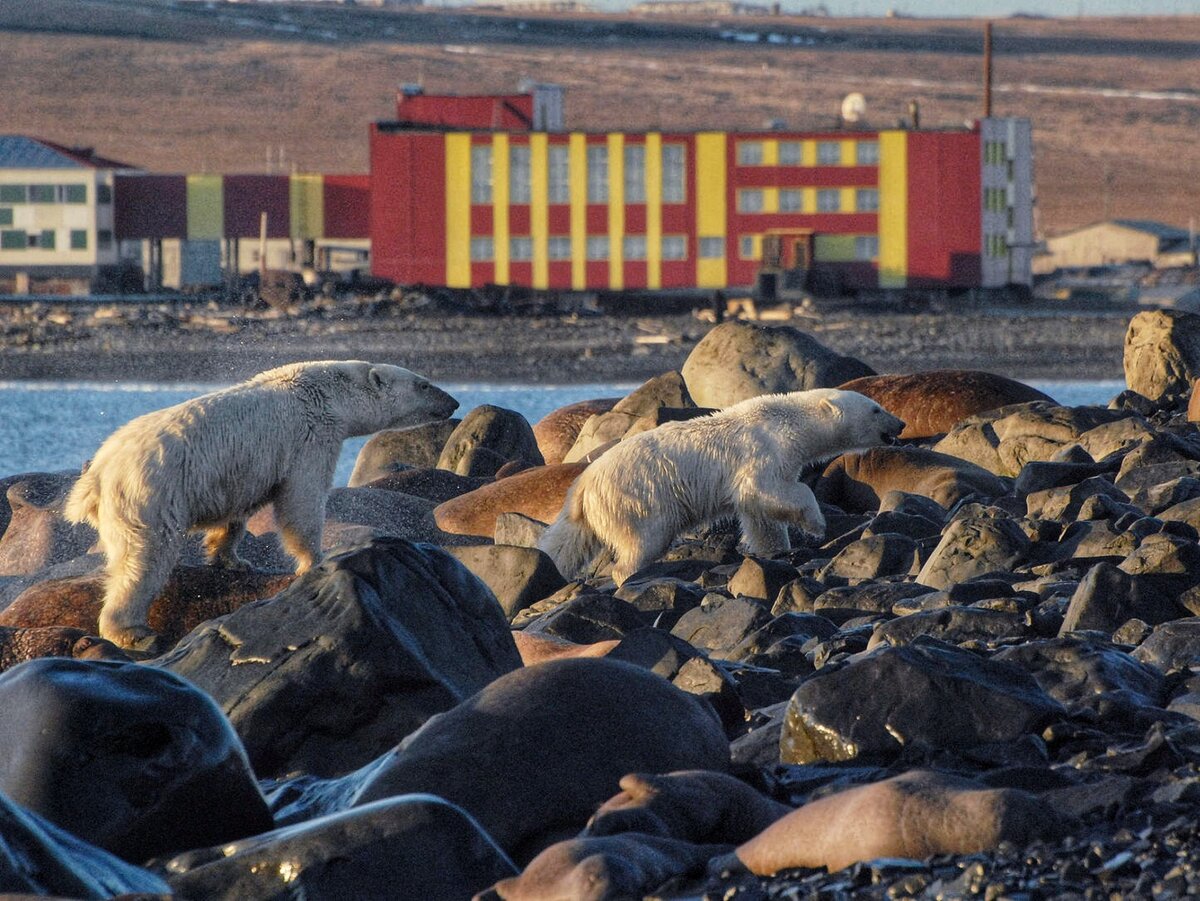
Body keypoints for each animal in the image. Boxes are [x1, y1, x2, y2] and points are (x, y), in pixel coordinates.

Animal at [65, 362, 458, 652]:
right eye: (424, 384)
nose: (453, 403)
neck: (324, 391)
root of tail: (96, 474)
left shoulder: (243, 468)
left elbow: (237, 512)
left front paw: (232, 558)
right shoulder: (311, 436)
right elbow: (302, 498)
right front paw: (315, 559)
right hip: (150, 495)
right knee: (143, 558)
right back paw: (132, 631)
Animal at [540, 388, 902, 585]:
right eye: (876, 408)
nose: (900, 423)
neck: (787, 421)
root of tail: (584, 484)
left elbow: (759, 516)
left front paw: (775, 549)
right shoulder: (761, 449)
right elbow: (765, 489)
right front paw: (815, 524)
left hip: (592, 510)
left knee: (568, 543)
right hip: (638, 497)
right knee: (644, 540)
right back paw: (629, 575)